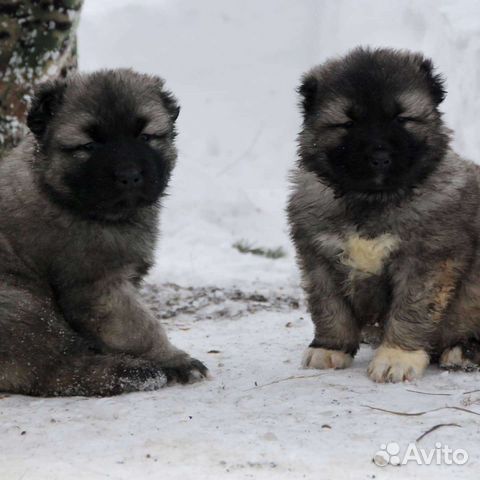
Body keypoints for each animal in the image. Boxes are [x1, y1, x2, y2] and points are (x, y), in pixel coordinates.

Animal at [1, 69, 208, 396]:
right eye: (89, 146)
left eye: (145, 137)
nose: (129, 176)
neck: (58, 194)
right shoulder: (98, 286)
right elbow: (141, 327)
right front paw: (175, 360)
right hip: (21, 301)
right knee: (53, 367)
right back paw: (135, 373)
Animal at [286, 47, 480, 382]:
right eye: (348, 123)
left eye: (402, 119)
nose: (379, 156)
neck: (373, 199)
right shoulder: (317, 256)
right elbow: (328, 305)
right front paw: (329, 347)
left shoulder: (427, 259)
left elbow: (412, 308)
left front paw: (397, 356)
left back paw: (464, 350)